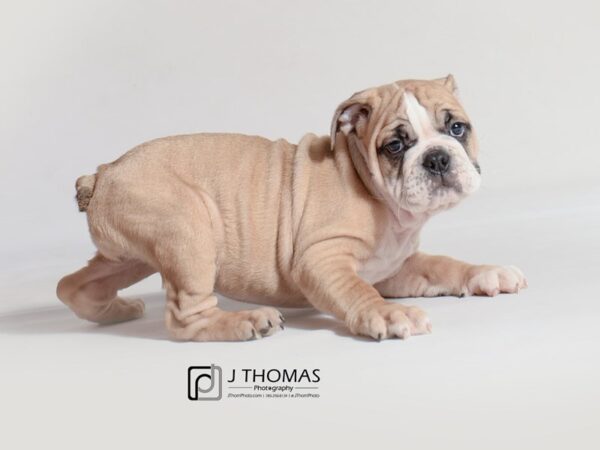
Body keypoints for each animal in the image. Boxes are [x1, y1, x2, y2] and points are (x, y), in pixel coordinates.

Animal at [56, 75, 524, 342]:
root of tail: (103, 174)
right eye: (395, 145)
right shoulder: (321, 260)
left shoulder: (394, 266)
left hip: (135, 253)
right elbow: (360, 292)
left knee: (73, 284)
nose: (438, 158)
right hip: (187, 231)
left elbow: (441, 265)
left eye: (457, 128)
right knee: (185, 317)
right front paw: (389, 314)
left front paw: (486, 273)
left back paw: (113, 311)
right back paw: (244, 323)